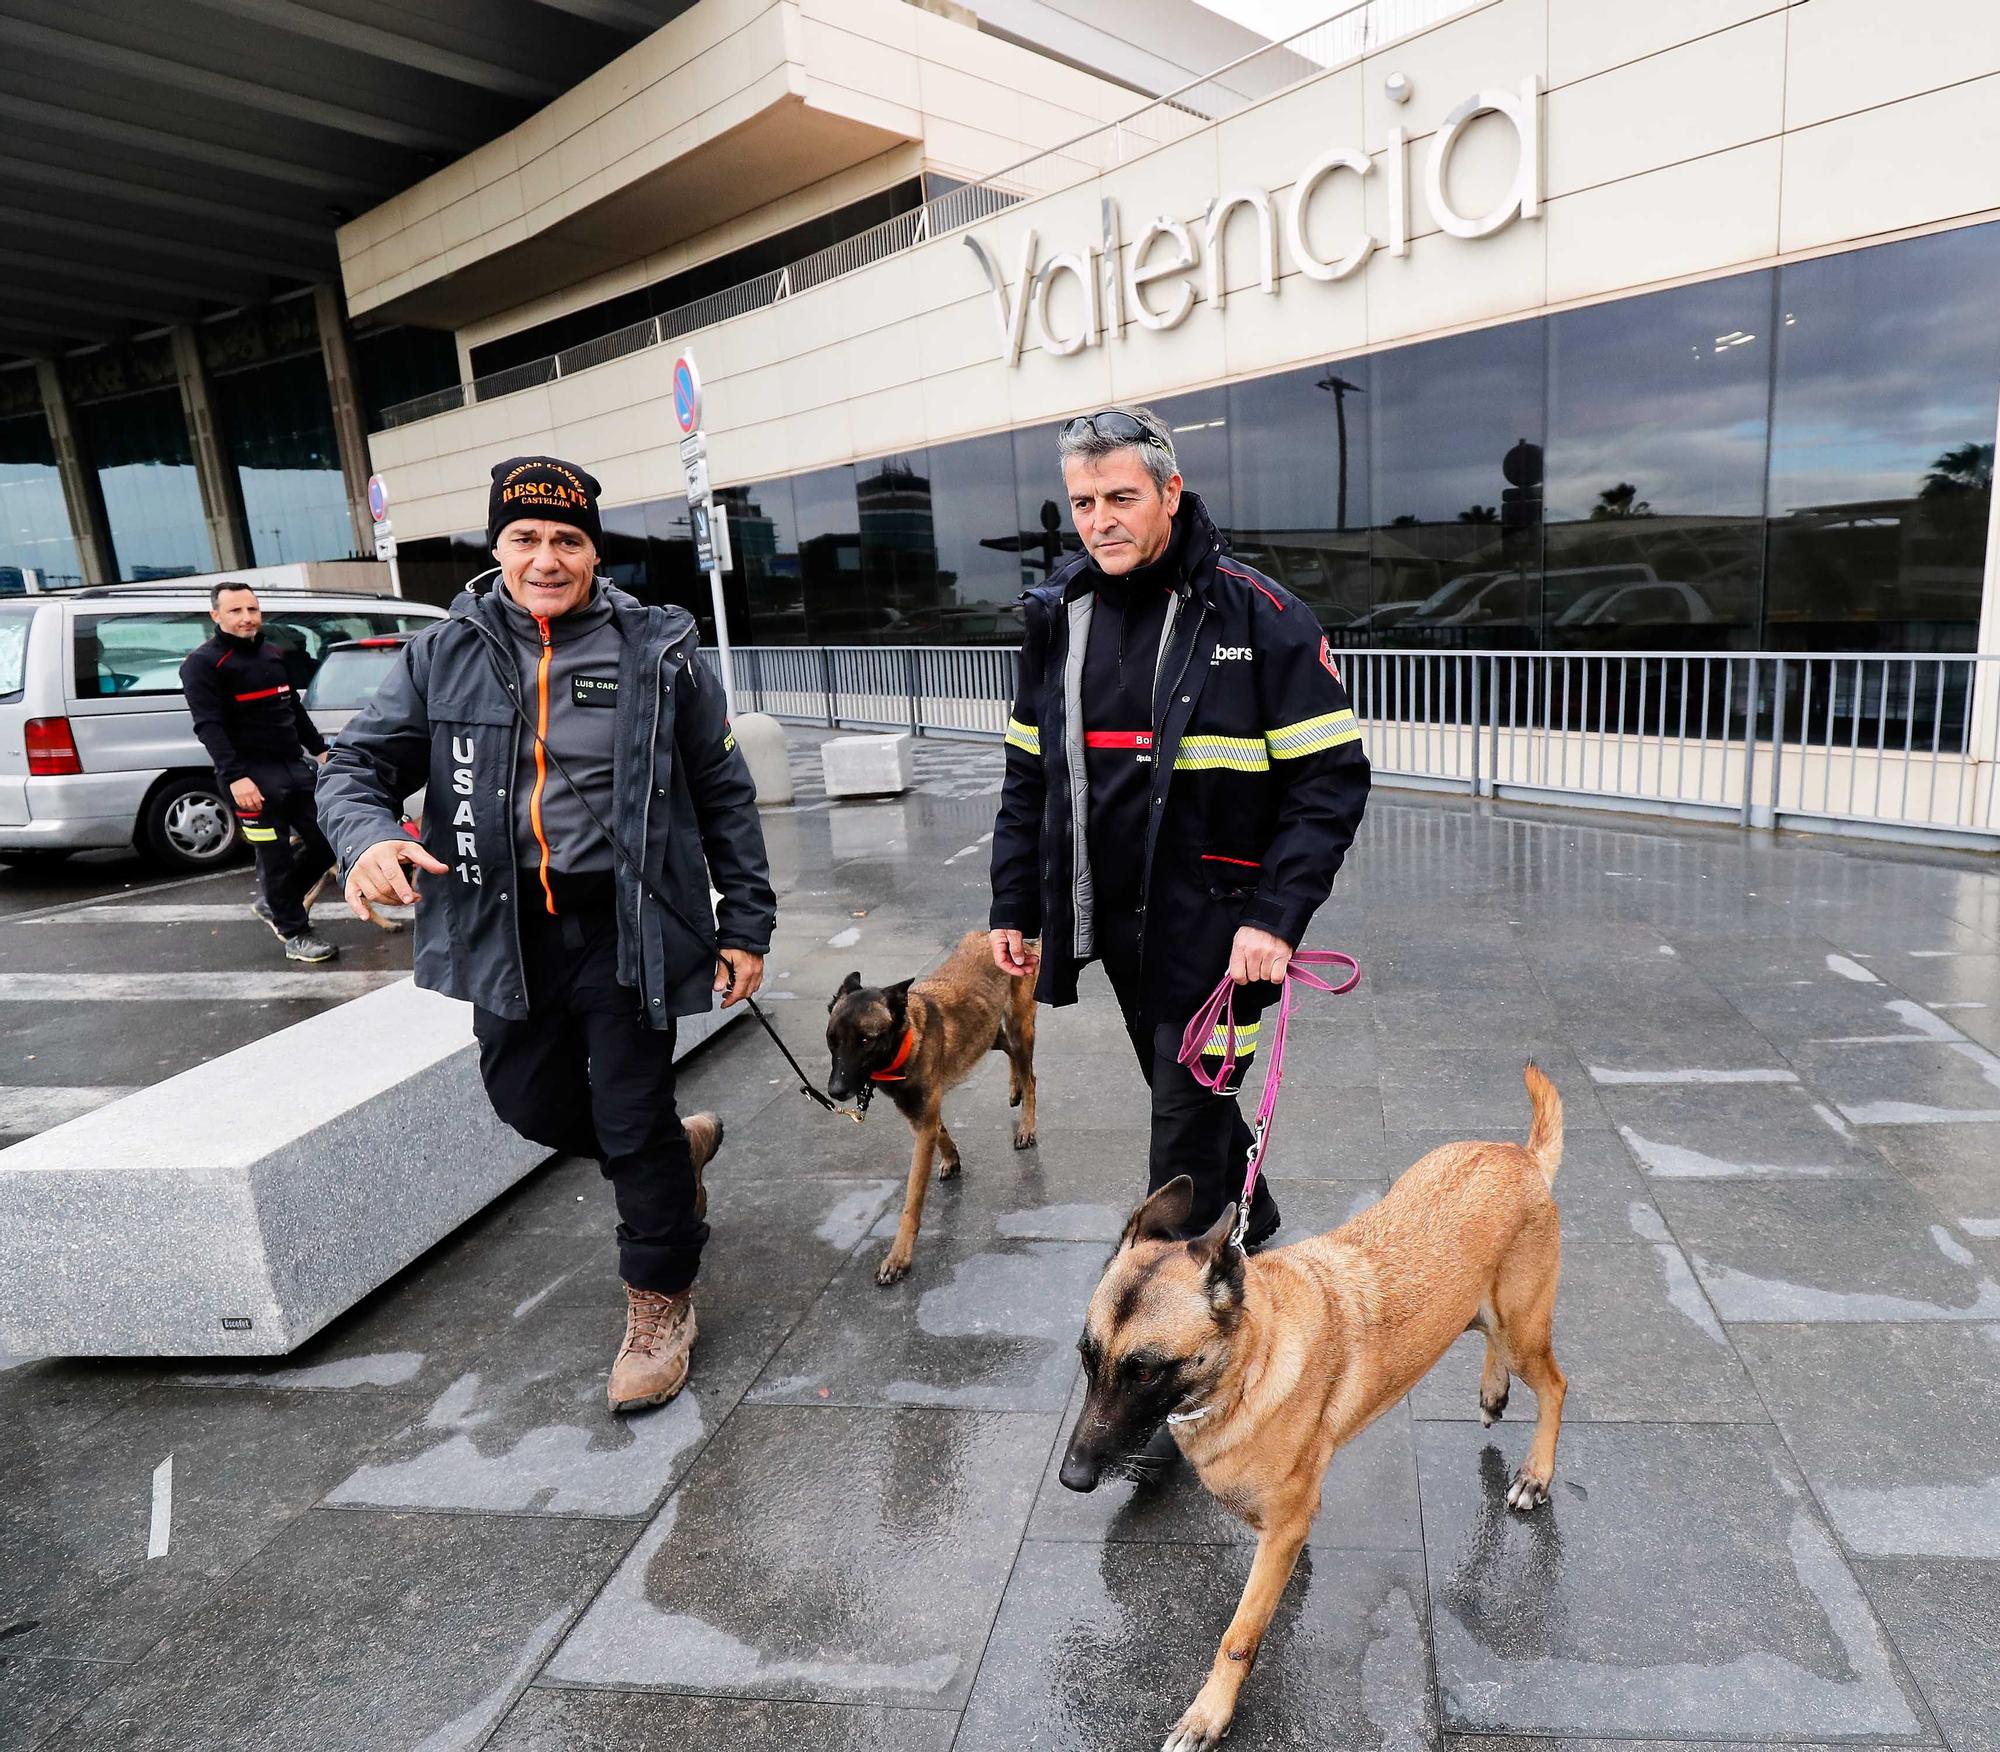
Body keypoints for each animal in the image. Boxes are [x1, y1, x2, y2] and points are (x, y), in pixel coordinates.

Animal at [828, 932, 1048, 1288]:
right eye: (832, 1039)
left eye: (865, 1040)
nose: (835, 1091)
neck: (907, 1039)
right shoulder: (921, 1113)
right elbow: (940, 1129)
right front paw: (951, 1158)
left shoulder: (923, 1118)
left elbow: (912, 1199)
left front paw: (898, 1258)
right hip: (986, 1032)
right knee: (1011, 1054)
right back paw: (1014, 1086)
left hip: (1019, 1027)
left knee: (1031, 1076)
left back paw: (1026, 1123)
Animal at [1056, 1064, 1568, 1744]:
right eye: (1088, 1358)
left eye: (1145, 1371)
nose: (1073, 1477)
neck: (1250, 1362)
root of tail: (1522, 1156)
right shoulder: (1279, 1524)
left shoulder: (1284, 1525)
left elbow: (1239, 1635)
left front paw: (1210, 1714)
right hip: (1489, 1315)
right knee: (1492, 1344)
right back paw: (1492, 1391)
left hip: (1523, 1328)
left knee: (1556, 1386)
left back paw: (1535, 1474)